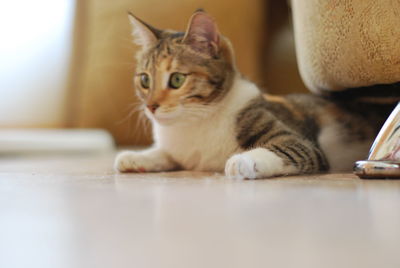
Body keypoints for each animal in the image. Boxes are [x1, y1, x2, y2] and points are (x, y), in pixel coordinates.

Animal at [114, 10, 396, 179]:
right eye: (145, 80)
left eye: (176, 79)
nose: (151, 106)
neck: (196, 123)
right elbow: (166, 154)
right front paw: (137, 156)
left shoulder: (302, 144)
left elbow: (290, 149)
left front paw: (243, 161)